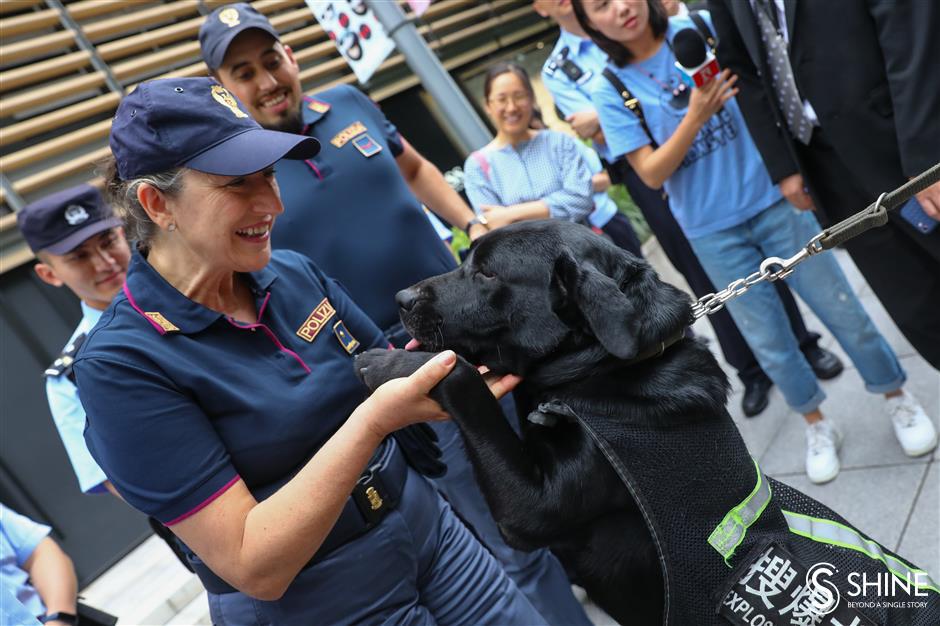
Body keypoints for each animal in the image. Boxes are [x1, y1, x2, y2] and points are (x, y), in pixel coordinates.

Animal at [354, 219, 736, 620]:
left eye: (487, 272)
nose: (401, 298)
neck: (606, 367)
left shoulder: (531, 511)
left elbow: (462, 376)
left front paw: (388, 364)